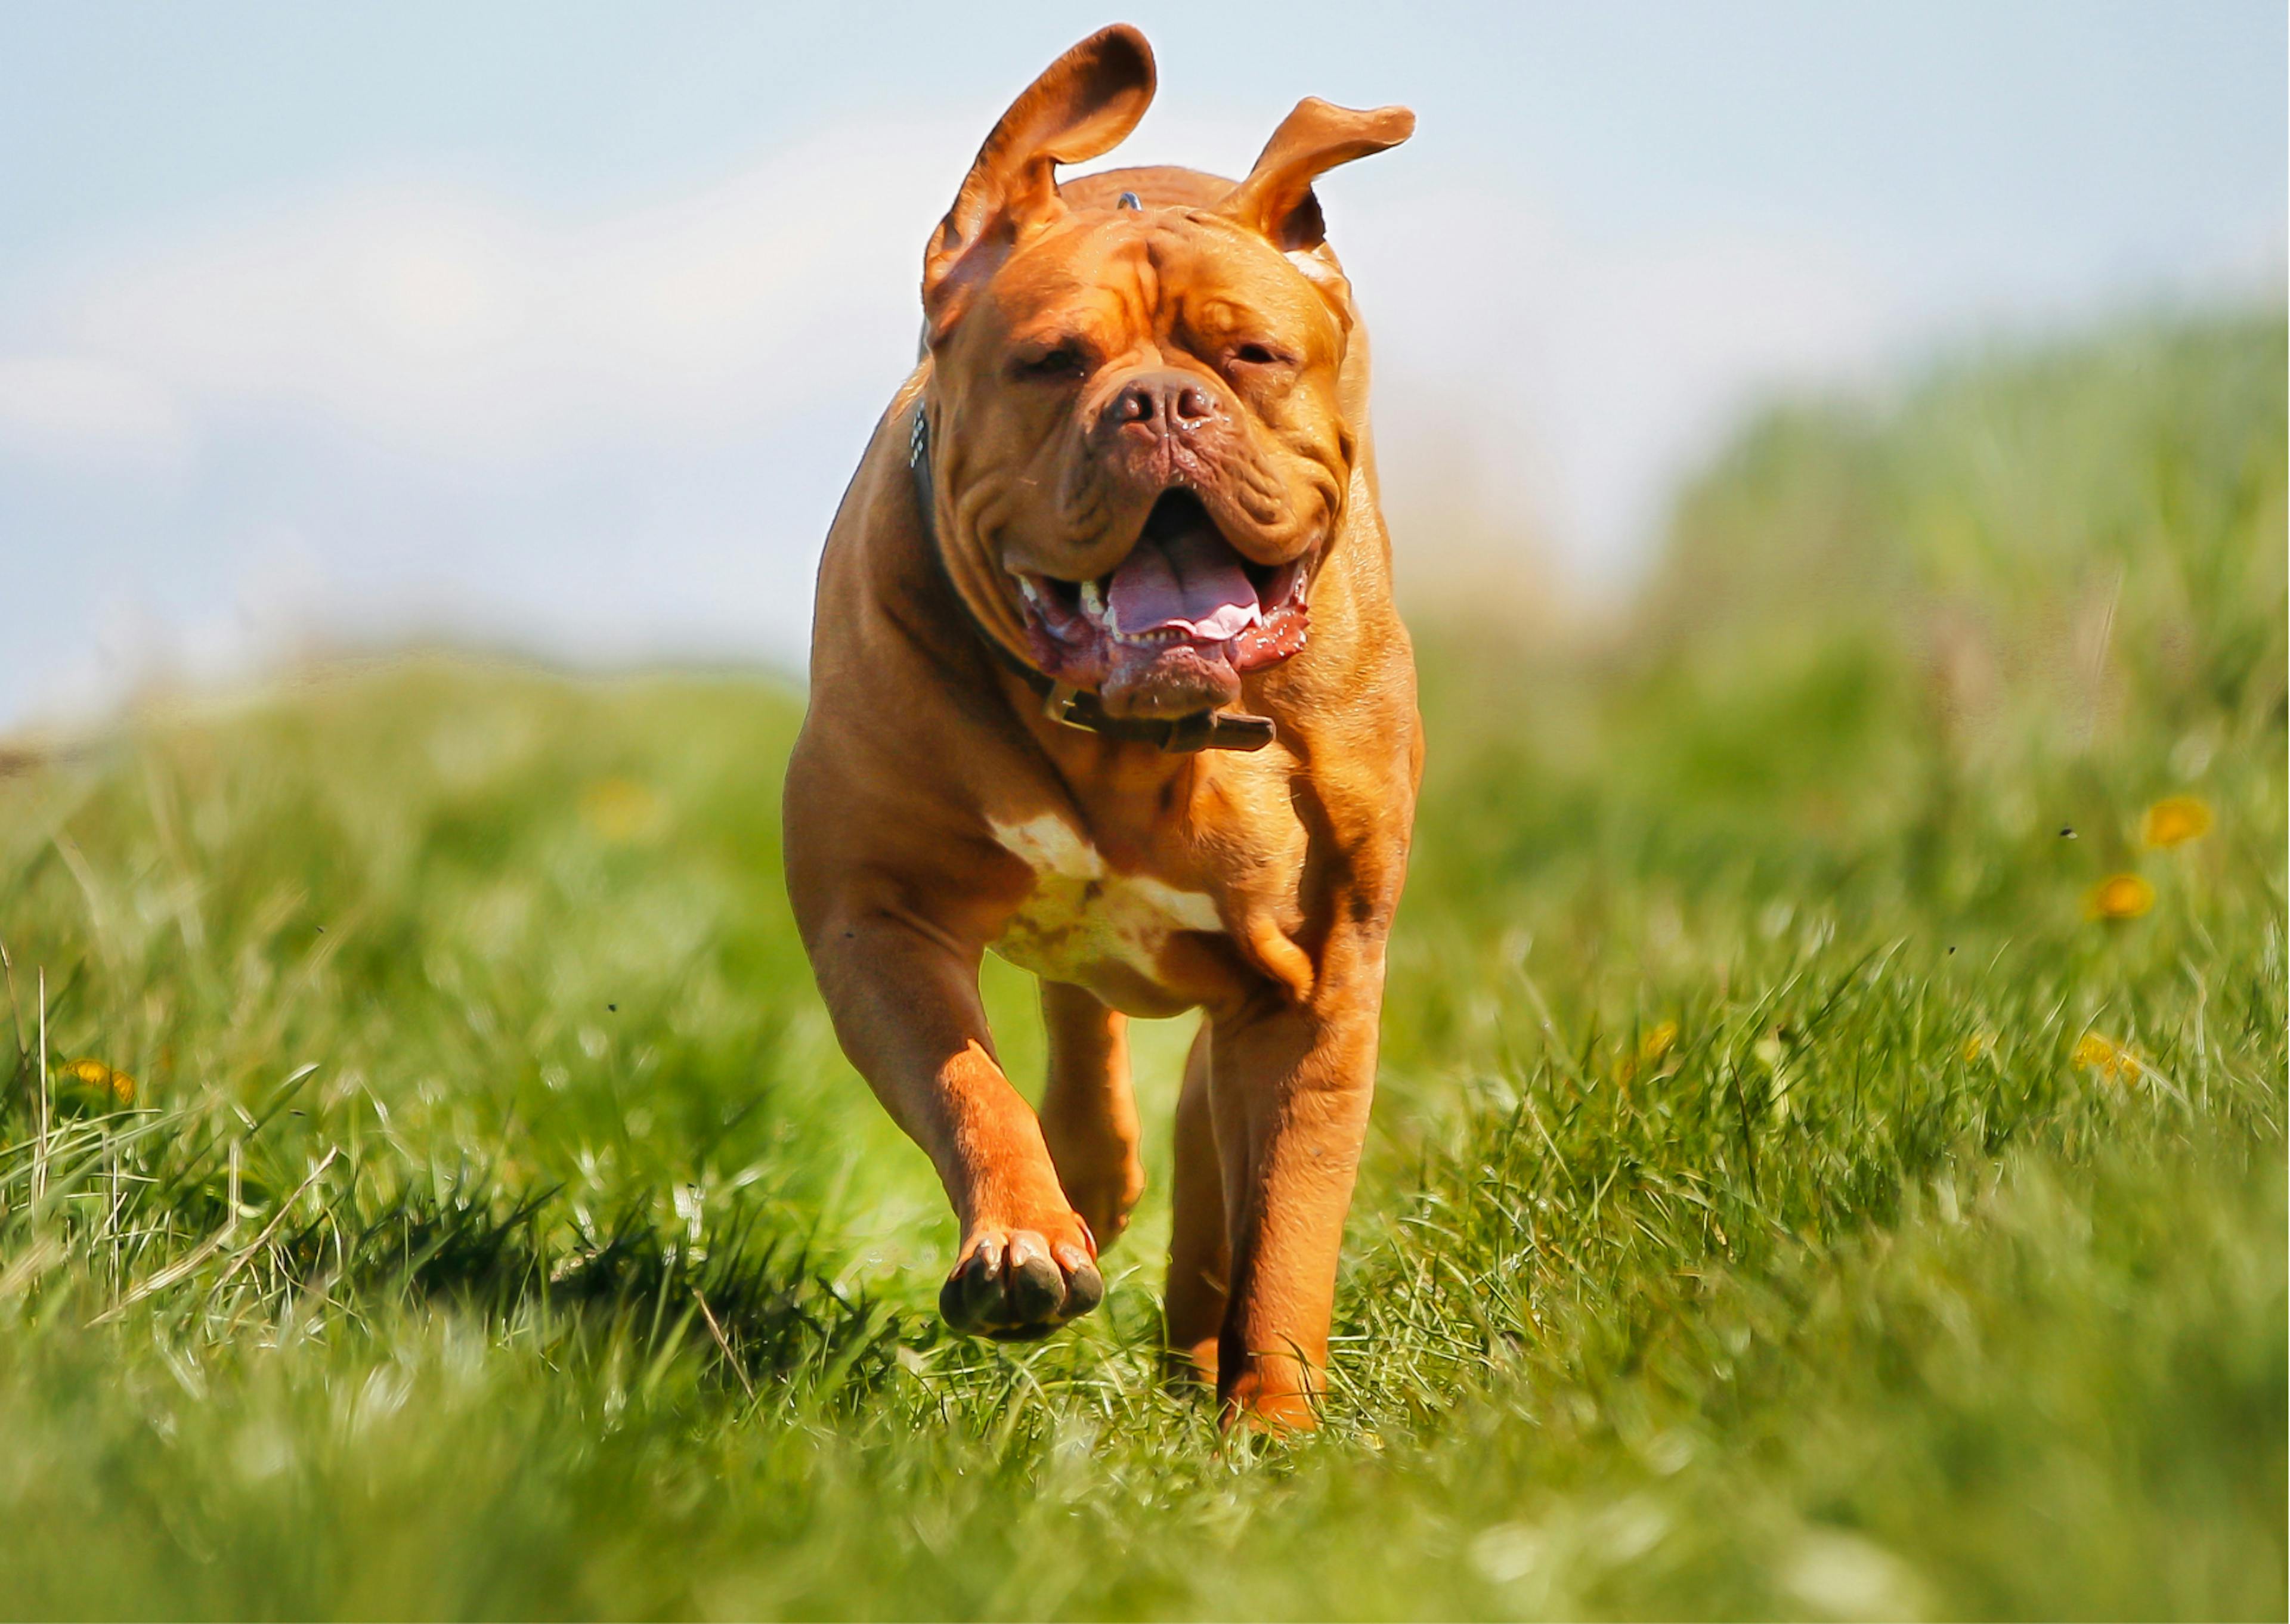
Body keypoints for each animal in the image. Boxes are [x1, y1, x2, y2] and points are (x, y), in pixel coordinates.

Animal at [792, 22, 1410, 1420]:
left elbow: (1289, 1227)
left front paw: (1277, 1423)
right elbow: (969, 1083)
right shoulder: (875, 912)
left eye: (1252, 357)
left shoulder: (1319, 984)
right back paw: (1090, 1184)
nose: (1163, 404)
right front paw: (1024, 1239)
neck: (1133, 741)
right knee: (1081, 1028)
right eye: (1053, 360)